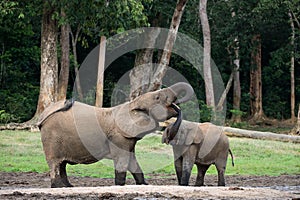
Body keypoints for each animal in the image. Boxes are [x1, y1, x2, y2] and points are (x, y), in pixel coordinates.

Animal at [37, 81, 193, 188]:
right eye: (157, 98)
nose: (177, 107)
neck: (131, 105)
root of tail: (43, 116)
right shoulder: (118, 137)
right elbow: (122, 160)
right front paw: (120, 185)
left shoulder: (128, 138)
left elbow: (132, 161)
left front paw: (144, 185)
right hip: (52, 137)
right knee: (55, 163)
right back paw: (58, 187)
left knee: (62, 164)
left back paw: (68, 186)